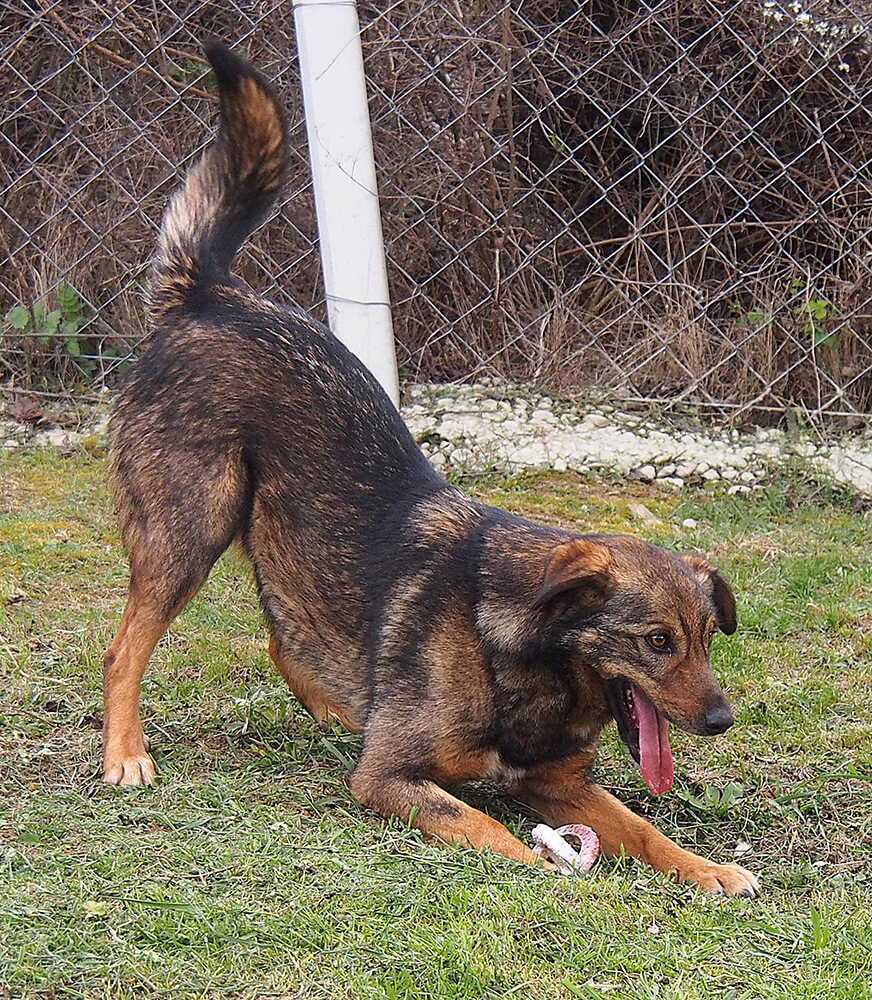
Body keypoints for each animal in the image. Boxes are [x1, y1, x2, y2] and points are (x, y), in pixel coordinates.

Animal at [102, 41, 759, 897]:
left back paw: (338, 709)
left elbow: (645, 829)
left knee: (285, 640)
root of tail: (210, 295)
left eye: (709, 637)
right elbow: (484, 824)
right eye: (656, 642)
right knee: (126, 648)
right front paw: (541, 866)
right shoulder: (388, 779)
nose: (721, 720)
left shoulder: (565, 784)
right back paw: (126, 754)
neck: (517, 651)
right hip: (192, 526)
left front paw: (709, 869)